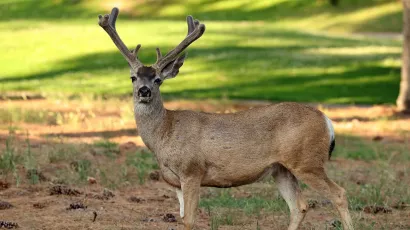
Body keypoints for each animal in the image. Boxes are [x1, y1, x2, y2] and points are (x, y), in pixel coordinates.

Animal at [97, 7, 354, 230]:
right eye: (133, 77)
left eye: (158, 79)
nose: (144, 91)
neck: (164, 133)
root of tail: (327, 121)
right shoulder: (176, 182)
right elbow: (182, 217)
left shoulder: (192, 170)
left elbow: (189, 220)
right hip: (281, 169)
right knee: (299, 206)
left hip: (307, 161)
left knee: (339, 194)